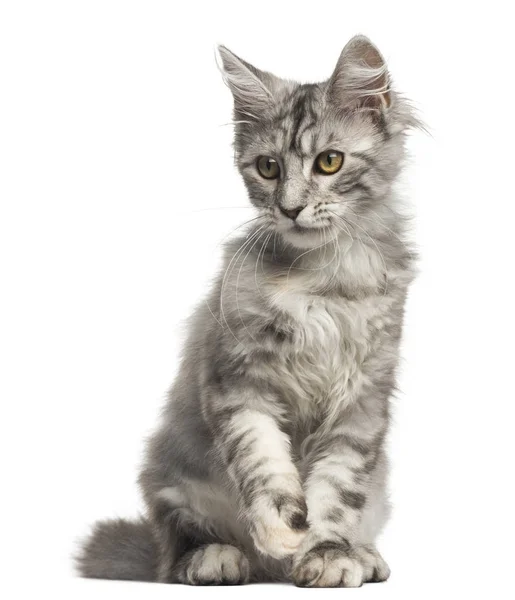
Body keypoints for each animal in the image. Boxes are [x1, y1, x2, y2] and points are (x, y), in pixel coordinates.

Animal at [78, 36, 422, 584]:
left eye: (330, 162)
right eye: (268, 168)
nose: (290, 208)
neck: (321, 280)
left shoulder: (364, 395)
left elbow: (337, 488)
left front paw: (328, 553)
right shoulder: (236, 376)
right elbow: (261, 459)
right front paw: (281, 529)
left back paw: (362, 555)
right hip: (169, 472)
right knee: (176, 543)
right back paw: (217, 557)